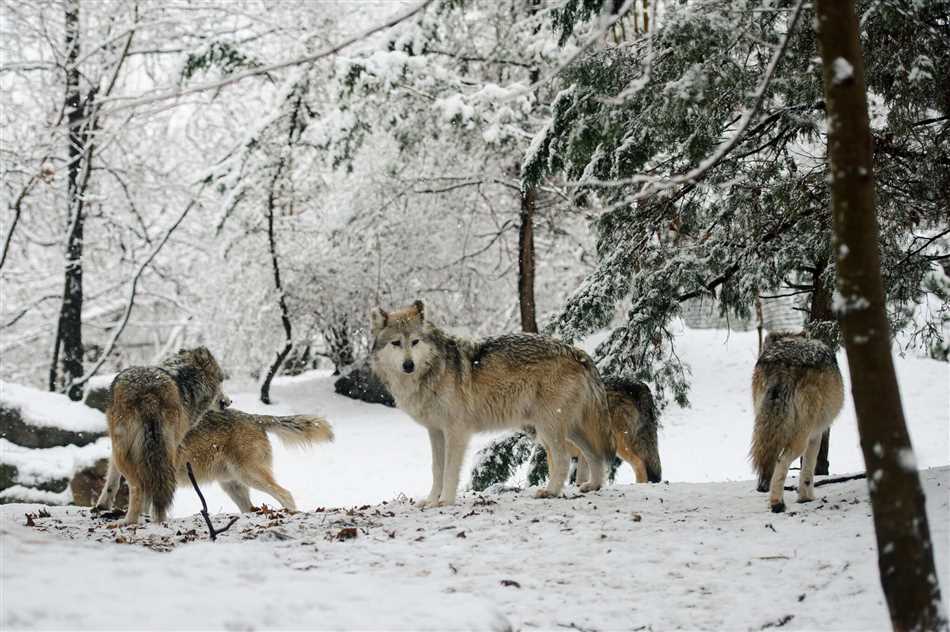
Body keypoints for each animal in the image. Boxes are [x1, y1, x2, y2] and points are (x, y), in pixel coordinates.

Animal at [94, 346, 231, 524]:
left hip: (128, 450)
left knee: (144, 485)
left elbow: (112, 477)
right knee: (144, 485)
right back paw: (141, 520)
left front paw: (102, 505)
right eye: (221, 380)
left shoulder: (116, 448)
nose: (228, 402)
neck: (186, 380)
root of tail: (149, 393)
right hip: (163, 450)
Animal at [372, 298, 616, 506]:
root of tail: (576, 351)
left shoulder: (456, 431)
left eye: (415, 342)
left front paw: (445, 501)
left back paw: (551, 491)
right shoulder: (435, 431)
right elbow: (436, 469)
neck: (433, 371)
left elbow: (450, 470)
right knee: (594, 455)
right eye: (396, 343)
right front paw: (431, 501)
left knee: (564, 458)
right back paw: (593, 486)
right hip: (568, 427)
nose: (408, 365)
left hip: (548, 427)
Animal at [752, 334, 848, 512]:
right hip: (801, 436)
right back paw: (777, 504)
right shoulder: (816, 435)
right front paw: (806, 498)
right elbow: (808, 469)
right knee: (781, 461)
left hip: (764, 427)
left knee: (770, 460)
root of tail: (784, 363)